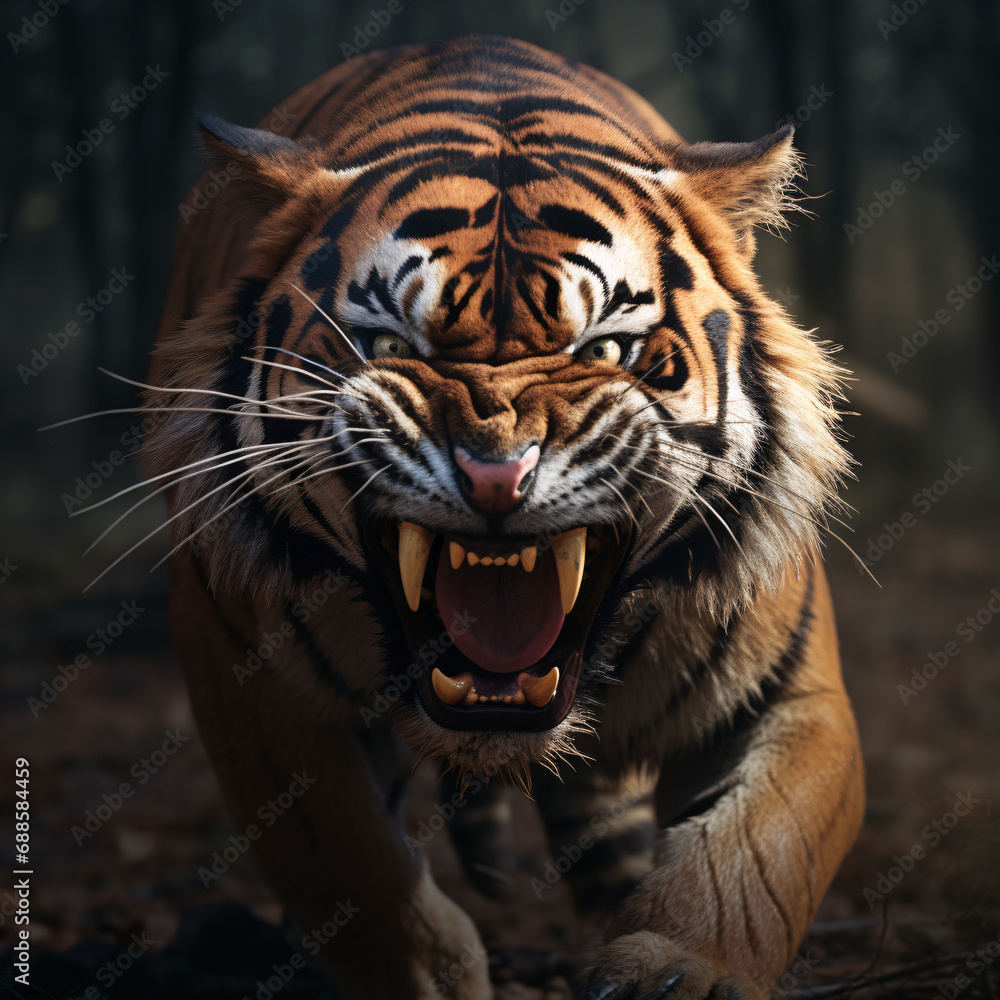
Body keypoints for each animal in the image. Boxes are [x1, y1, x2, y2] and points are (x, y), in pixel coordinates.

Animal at [145, 35, 864, 1000]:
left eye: (606, 350)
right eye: (389, 347)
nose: (496, 476)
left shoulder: (793, 696)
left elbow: (758, 852)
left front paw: (677, 966)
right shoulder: (244, 678)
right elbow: (350, 863)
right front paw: (431, 978)